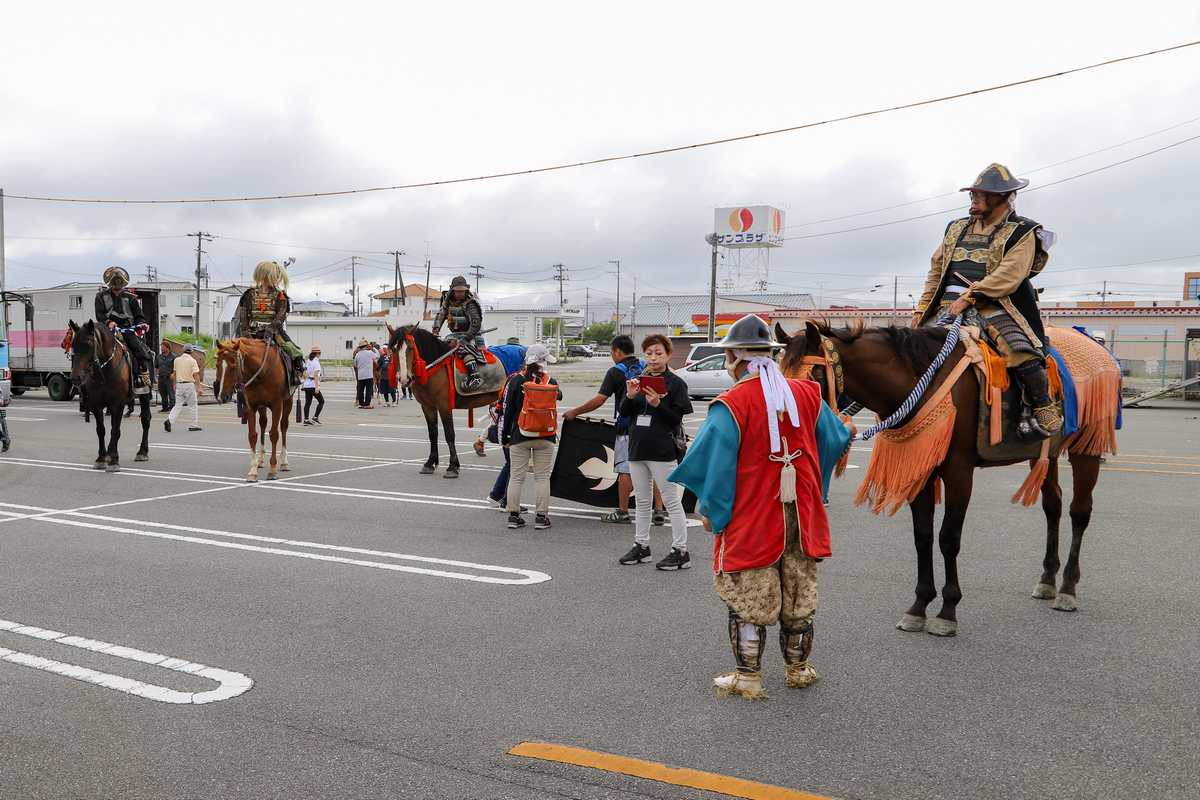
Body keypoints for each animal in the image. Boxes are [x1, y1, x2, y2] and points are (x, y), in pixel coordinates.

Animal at [66, 321, 150, 472]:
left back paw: (142, 452)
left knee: (145, 420)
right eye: (73, 345)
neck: (104, 370)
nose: (75, 378)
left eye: (89, 345)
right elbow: (101, 430)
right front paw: (101, 458)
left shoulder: (118, 404)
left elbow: (115, 431)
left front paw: (114, 459)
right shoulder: (96, 405)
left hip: (145, 394)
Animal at [213, 338, 292, 482]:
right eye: (217, 365)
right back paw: (260, 460)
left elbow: (274, 434)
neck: (262, 372)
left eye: (233, 366)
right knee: (263, 423)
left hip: (288, 401)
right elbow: (252, 435)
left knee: (283, 426)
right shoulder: (251, 406)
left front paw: (273, 469)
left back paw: (284, 461)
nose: (223, 396)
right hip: (262, 407)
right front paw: (253, 470)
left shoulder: (277, 405)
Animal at [388, 323, 501, 479]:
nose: (405, 379)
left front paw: (452, 466)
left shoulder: (444, 406)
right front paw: (430, 463)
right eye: (394, 349)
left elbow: (449, 434)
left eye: (410, 347)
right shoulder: (427, 406)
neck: (433, 368)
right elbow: (433, 433)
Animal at [777, 321, 1113, 638]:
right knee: (1053, 506)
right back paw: (1047, 580)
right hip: (1046, 453)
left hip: (1086, 446)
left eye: (813, 376)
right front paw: (919, 606)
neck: (923, 382)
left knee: (1080, 511)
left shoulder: (959, 471)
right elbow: (923, 536)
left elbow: (948, 538)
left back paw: (1067, 587)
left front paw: (947, 611)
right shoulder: (922, 471)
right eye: (779, 373)